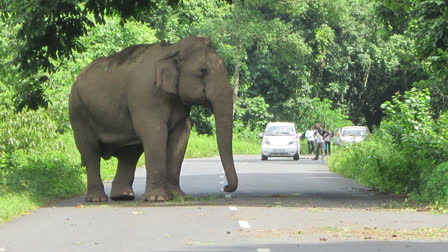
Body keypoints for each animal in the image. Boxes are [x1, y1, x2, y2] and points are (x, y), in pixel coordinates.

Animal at [69, 35, 238, 202]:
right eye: (203, 71)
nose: (226, 187)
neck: (171, 49)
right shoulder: (146, 95)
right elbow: (155, 132)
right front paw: (157, 198)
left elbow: (181, 135)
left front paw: (178, 196)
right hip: (77, 110)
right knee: (90, 151)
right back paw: (96, 199)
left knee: (129, 153)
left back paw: (123, 196)